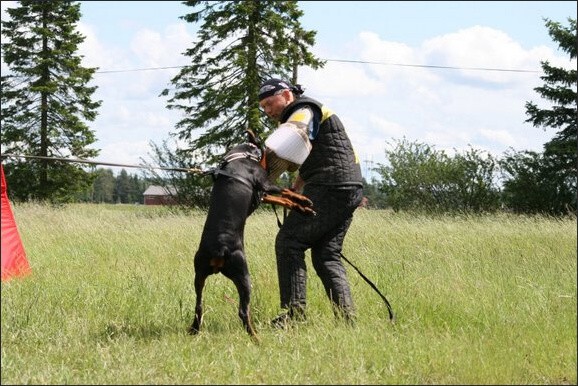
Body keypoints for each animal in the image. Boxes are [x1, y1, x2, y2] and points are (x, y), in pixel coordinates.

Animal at [188, 130, 316, 340]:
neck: (241, 154)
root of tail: (218, 250)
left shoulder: (263, 193)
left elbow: (284, 199)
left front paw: (301, 206)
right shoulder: (265, 183)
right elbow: (285, 192)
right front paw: (304, 202)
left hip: (199, 274)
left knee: (199, 305)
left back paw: (194, 329)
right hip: (244, 275)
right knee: (243, 311)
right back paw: (256, 337)